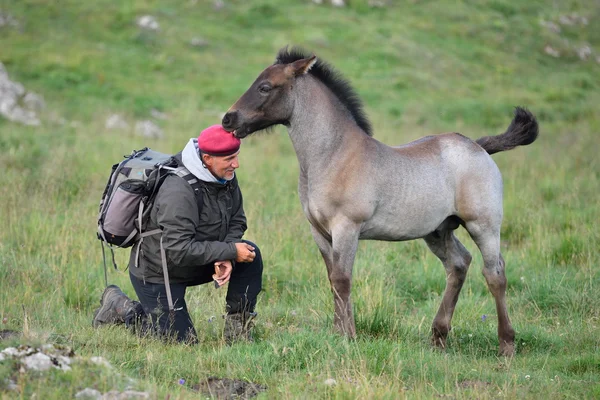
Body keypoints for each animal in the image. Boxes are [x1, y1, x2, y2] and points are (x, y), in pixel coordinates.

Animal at [221, 47, 540, 356]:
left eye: (265, 87)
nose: (228, 119)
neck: (333, 155)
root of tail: (478, 147)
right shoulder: (319, 231)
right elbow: (332, 279)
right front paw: (337, 334)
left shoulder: (347, 228)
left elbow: (342, 280)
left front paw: (348, 337)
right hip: (438, 231)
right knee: (459, 265)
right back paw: (438, 338)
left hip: (483, 225)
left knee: (495, 274)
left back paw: (506, 345)